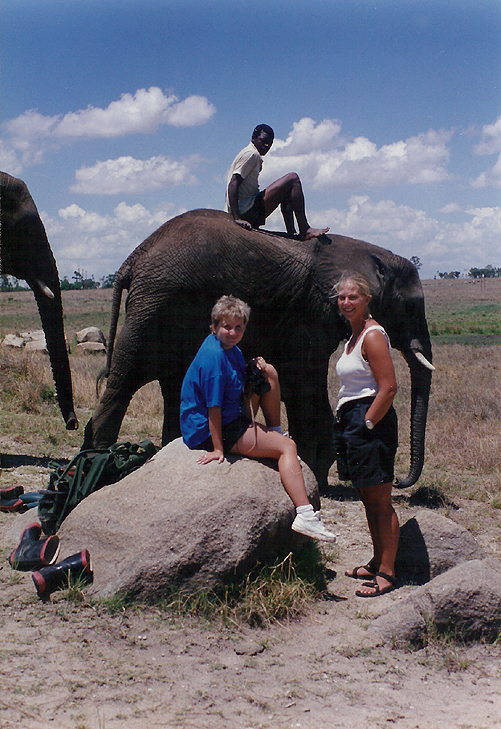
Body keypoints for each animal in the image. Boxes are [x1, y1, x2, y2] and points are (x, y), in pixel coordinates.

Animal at [84, 208, 432, 486]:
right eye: (411, 306)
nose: (399, 481)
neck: (365, 252)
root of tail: (134, 258)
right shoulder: (310, 313)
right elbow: (304, 386)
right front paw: (316, 477)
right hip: (156, 304)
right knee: (126, 378)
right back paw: (100, 464)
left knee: (171, 383)